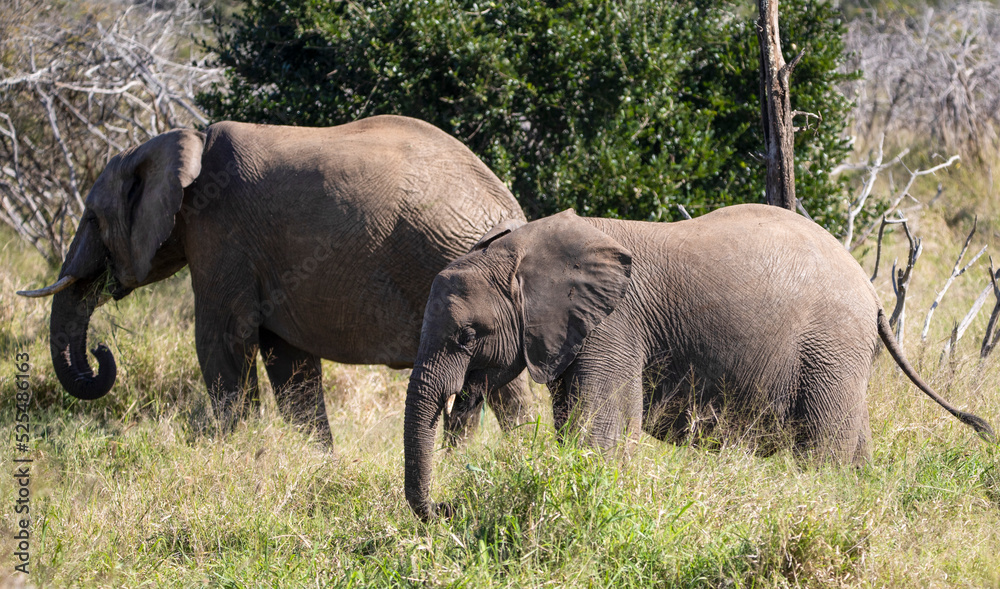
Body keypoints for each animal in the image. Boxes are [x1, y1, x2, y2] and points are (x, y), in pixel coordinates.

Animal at [18, 115, 531, 443]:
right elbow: (290, 363)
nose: (101, 354)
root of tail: (511, 206)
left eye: (91, 219)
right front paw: (316, 466)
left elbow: (220, 342)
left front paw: (237, 455)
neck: (181, 143)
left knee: (502, 388)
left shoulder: (219, 233)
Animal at [403, 204, 995, 520]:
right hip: (842, 357)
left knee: (822, 446)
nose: (447, 509)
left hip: (830, 346)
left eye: (466, 335)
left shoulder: (615, 325)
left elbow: (600, 429)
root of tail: (873, 297)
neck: (523, 246)